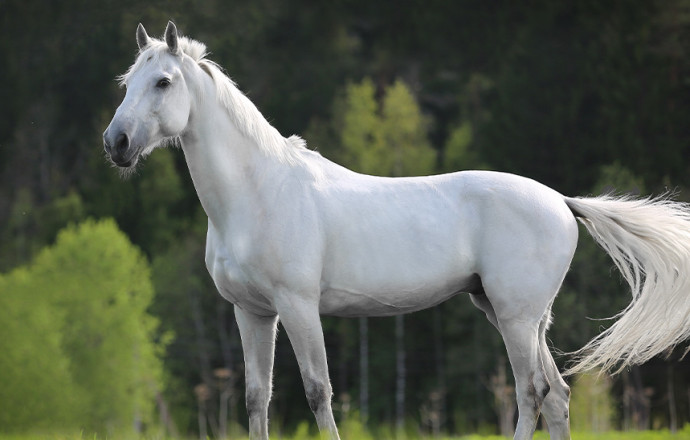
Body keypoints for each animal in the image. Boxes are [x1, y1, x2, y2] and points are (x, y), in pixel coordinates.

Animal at [103, 22, 690, 440]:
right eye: (127, 83)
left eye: (163, 82)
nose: (117, 143)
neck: (259, 192)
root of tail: (561, 202)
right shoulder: (251, 312)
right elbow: (256, 399)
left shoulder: (298, 306)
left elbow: (318, 393)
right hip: (514, 314)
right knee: (558, 396)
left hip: (517, 317)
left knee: (531, 392)